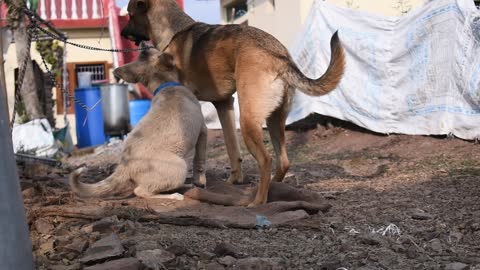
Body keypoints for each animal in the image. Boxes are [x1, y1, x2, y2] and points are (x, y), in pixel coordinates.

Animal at [68, 48, 207, 200]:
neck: (165, 84)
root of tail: (124, 166)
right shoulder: (203, 131)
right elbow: (200, 160)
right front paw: (201, 182)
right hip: (180, 167)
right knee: (141, 192)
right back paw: (174, 195)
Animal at [121, 0, 344, 207]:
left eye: (130, 15)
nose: (122, 33)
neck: (175, 31)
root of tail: (278, 56)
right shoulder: (224, 104)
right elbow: (232, 148)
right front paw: (234, 180)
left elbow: (198, 154)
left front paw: (198, 180)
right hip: (274, 120)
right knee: (283, 162)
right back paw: (273, 189)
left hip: (248, 121)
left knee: (266, 160)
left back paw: (258, 201)